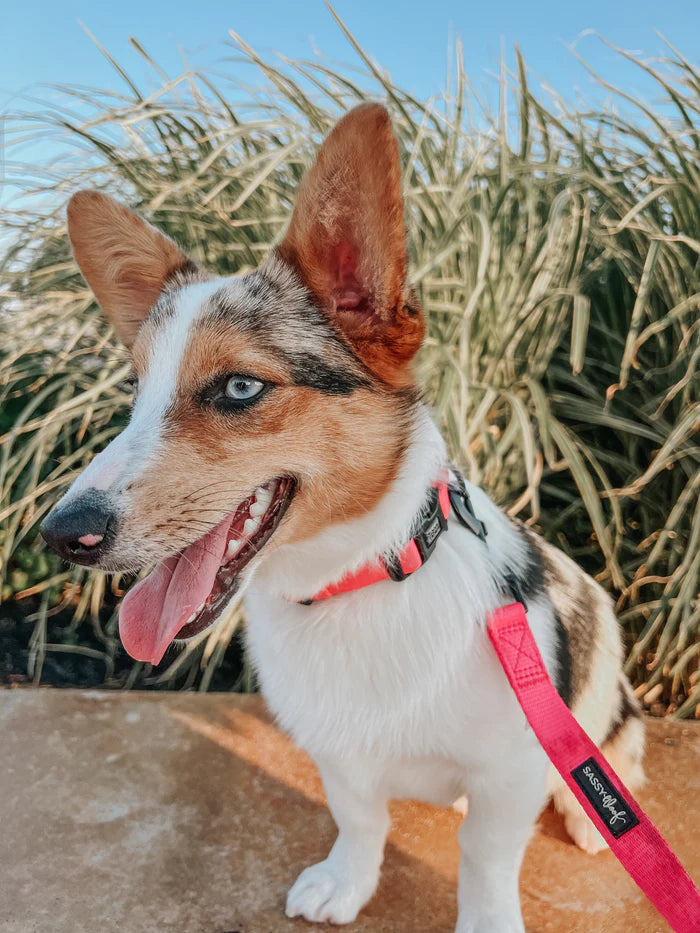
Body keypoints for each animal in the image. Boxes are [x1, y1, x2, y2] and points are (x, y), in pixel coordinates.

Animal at [42, 104, 644, 932]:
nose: (59, 535)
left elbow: (487, 860)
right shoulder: (339, 756)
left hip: (603, 668)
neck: (354, 581)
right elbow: (361, 818)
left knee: (613, 746)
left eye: (238, 387)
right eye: (135, 392)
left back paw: (589, 812)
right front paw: (346, 881)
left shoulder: (513, 767)